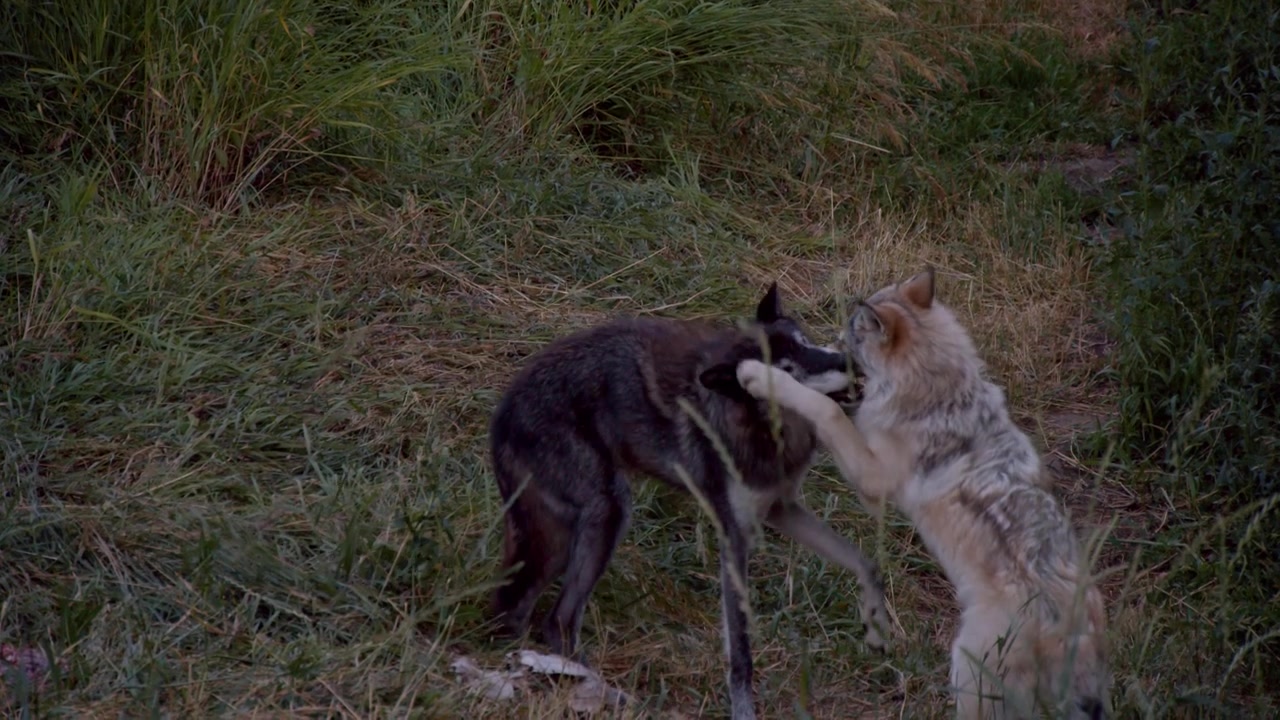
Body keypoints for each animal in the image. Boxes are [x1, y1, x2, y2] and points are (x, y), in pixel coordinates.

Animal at [488, 283, 892, 720]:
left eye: (805, 343)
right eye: (785, 372)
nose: (849, 362)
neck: (764, 429)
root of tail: (502, 414)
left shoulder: (780, 509)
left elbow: (866, 564)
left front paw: (876, 616)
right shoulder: (734, 539)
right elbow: (741, 654)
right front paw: (743, 711)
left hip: (566, 538)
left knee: (526, 610)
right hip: (608, 514)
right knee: (557, 620)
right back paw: (607, 694)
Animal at [736, 268, 1110, 720]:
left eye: (851, 337)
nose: (838, 353)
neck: (937, 390)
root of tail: (1076, 639)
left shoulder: (873, 480)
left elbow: (824, 408)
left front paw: (760, 376)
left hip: (968, 671)